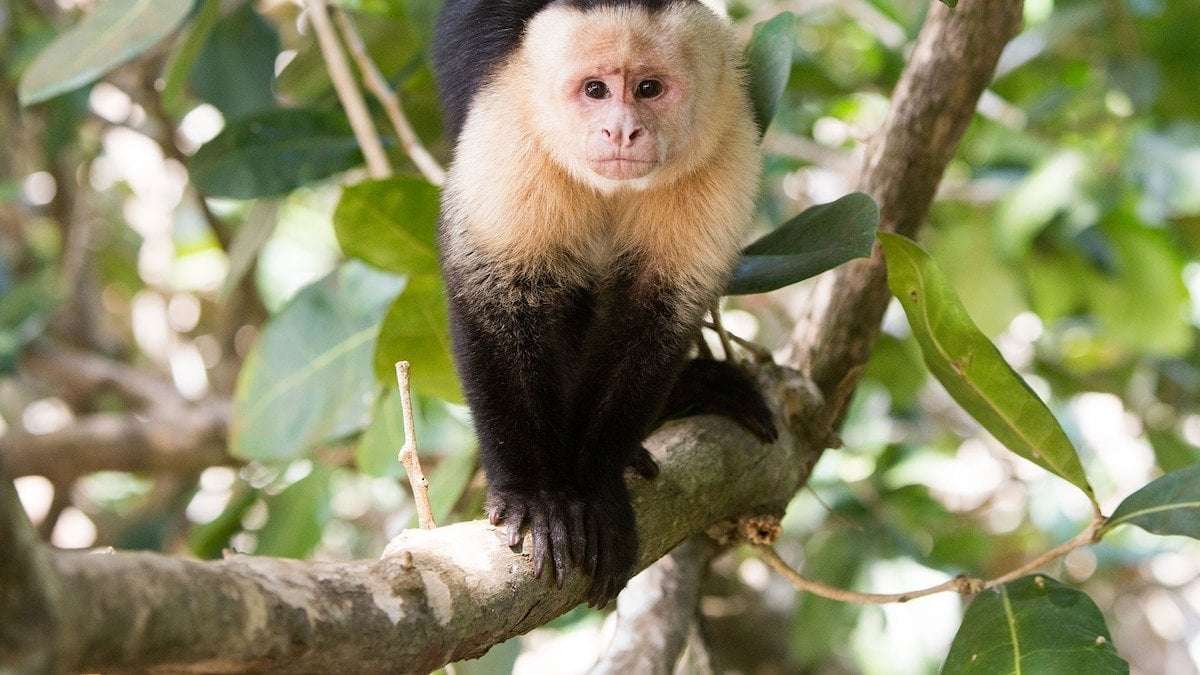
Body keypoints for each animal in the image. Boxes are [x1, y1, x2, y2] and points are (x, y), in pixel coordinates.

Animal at [432, 0, 777, 607]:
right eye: (595, 90)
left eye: (648, 88)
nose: (621, 129)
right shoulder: (511, 137)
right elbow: (495, 295)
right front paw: (537, 495)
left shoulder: (725, 153)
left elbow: (655, 321)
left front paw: (595, 488)